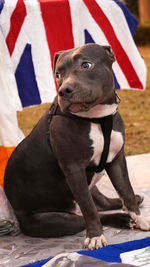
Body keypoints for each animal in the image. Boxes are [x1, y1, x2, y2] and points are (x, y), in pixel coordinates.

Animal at [3, 44, 150, 251]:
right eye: (58, 74)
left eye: (86, 65)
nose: (64, 90)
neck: (97, 118)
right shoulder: (74, 169)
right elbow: (89, 209)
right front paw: (95, 236)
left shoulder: (116, 160)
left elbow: (126, 190)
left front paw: (139, 218)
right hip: (55, 220)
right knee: (90, 213)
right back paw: (120, 219)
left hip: (90, 188)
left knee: (102, 202)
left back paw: (127, 207)